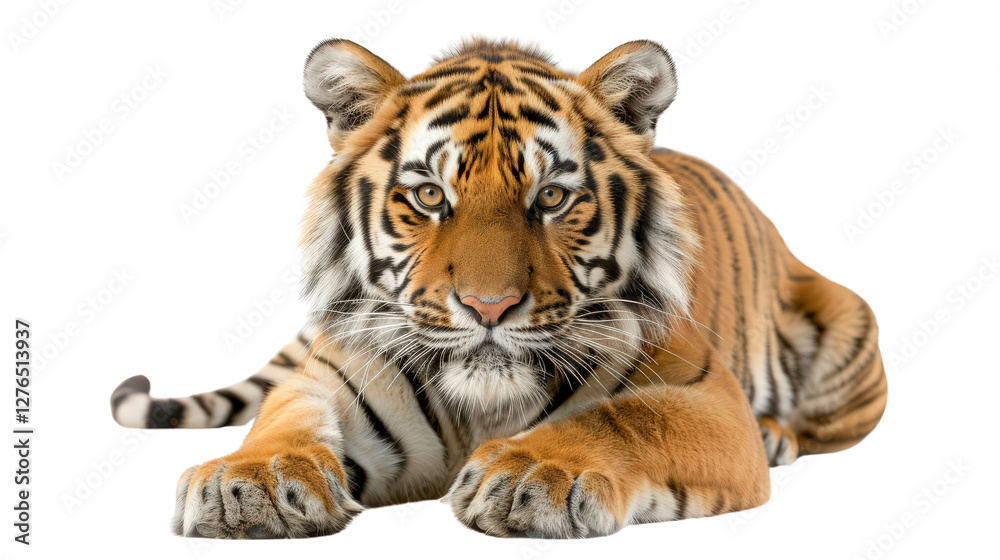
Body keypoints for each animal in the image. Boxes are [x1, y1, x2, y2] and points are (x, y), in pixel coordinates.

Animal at [110, 38, 887, 539]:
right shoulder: (327, 377)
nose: (489, 307)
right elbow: (282, 419)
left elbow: (627, 417)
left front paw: (532, 473)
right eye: (429, 196)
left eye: (552, 197)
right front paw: (251, 481)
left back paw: (778, 434)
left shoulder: (705, 397)